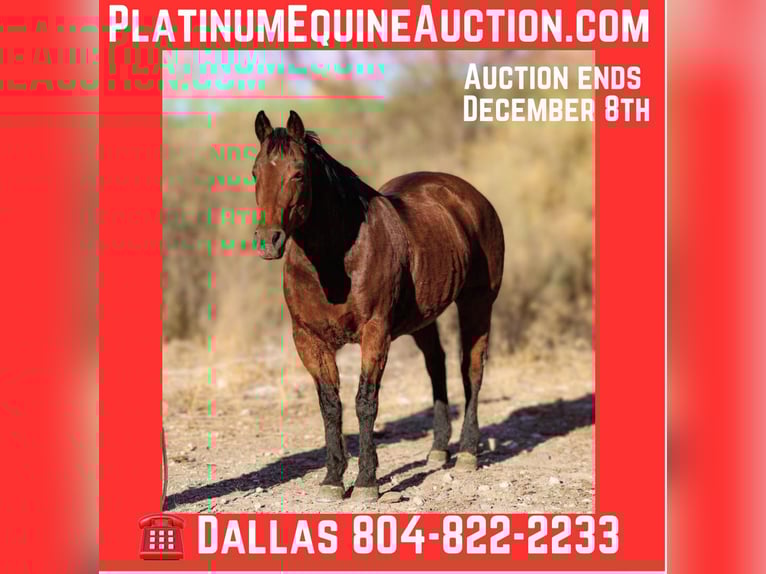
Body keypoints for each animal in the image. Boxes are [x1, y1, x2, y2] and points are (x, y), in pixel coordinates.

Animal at [251, 110, 505, 502]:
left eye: (298, 173)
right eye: (255, 171)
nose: (268, 241)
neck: (337, 257)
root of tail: (471, 197)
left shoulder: (375, 332)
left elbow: (365, 401)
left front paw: (367, 481)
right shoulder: (308, 339)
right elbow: (330, 405)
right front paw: (332, 479)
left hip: (477, 303)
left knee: (471, 370)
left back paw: (466, 452)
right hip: (422, 318)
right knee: (437, 365)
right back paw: (438, 449)